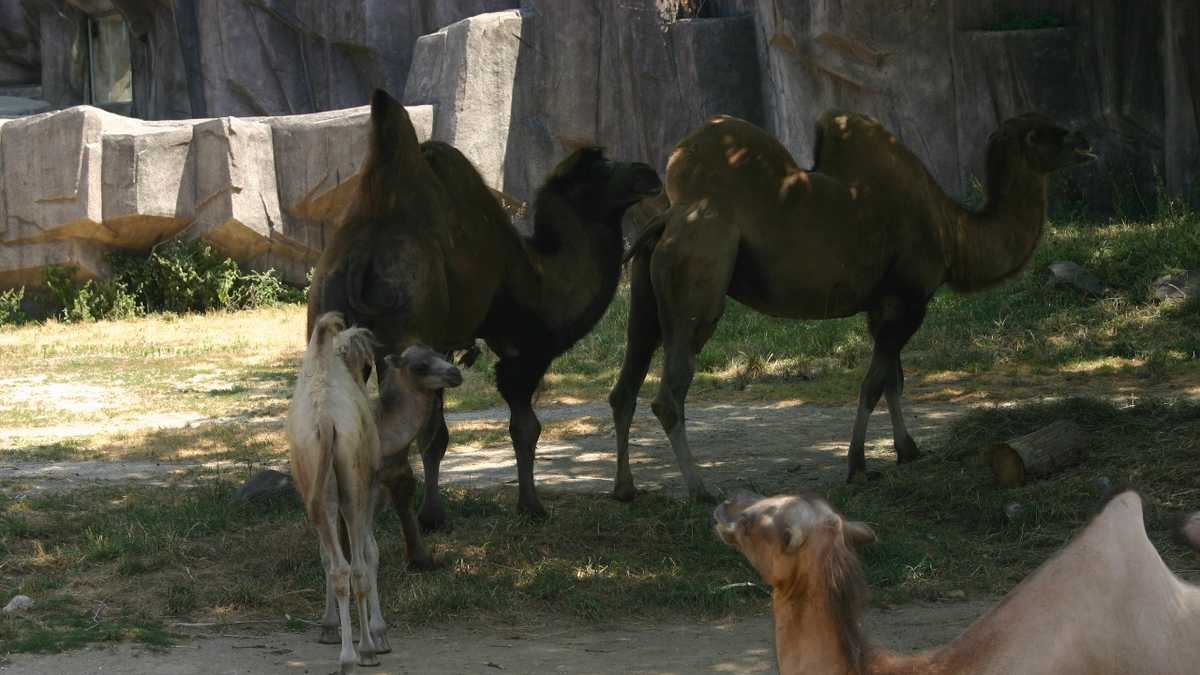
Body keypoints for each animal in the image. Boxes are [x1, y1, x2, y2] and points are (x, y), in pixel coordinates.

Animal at [286, 312, 386, 673]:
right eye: (367, 364)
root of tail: (326, 422)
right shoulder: (372, 482)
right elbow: (371, 552)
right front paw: (379, 633)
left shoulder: (313, 494)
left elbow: (327, 556)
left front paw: (328, 627)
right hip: (353, 485)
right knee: (356, 567)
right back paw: (365, 650)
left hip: (320, 487)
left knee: (340, 568)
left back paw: (347, 656)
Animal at [308, 90, 663, 526]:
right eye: (603, 169)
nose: (649, 172)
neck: (536, 273)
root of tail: (362, 256)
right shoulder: (523, 351)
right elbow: (523, 427)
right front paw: (528, 506)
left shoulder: (452, 345)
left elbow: (440, 435)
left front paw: (436, 512)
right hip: (403, 327)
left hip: (326, 314)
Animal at [610, 112, 1095, 495]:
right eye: (1042, 133)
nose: (1085, 139)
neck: (953, 231)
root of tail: (670, 215)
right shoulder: (909, 298)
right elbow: (874, 384)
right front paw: (858, 465)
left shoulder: (882, 305)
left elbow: (894, 380)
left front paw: (907, 451)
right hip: (699, 275)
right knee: (670, 393)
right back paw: (701, 490)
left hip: (646, 293)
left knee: (625, 385)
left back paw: (625, 489)